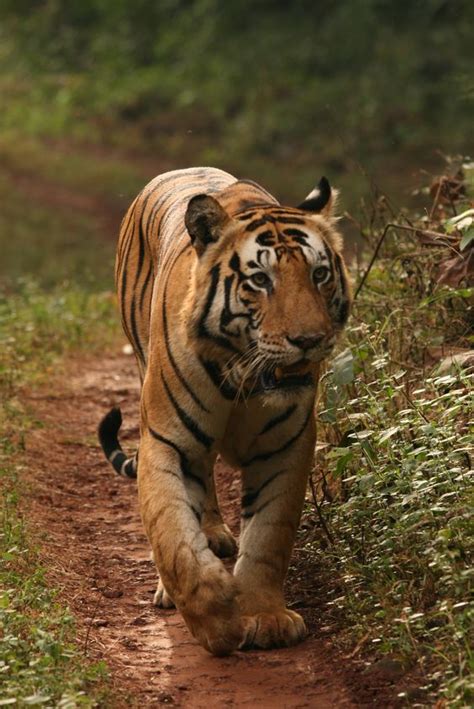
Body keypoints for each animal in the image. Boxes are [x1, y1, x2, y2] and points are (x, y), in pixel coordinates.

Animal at [98, 166, 350, 652]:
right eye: (260, 280)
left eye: (319, 274)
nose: (309, 340)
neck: (244, 377)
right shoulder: (168, 441)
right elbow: (173, 533)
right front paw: (215, 615)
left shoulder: (285, 446)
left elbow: (269, 535)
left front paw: (265, 616)